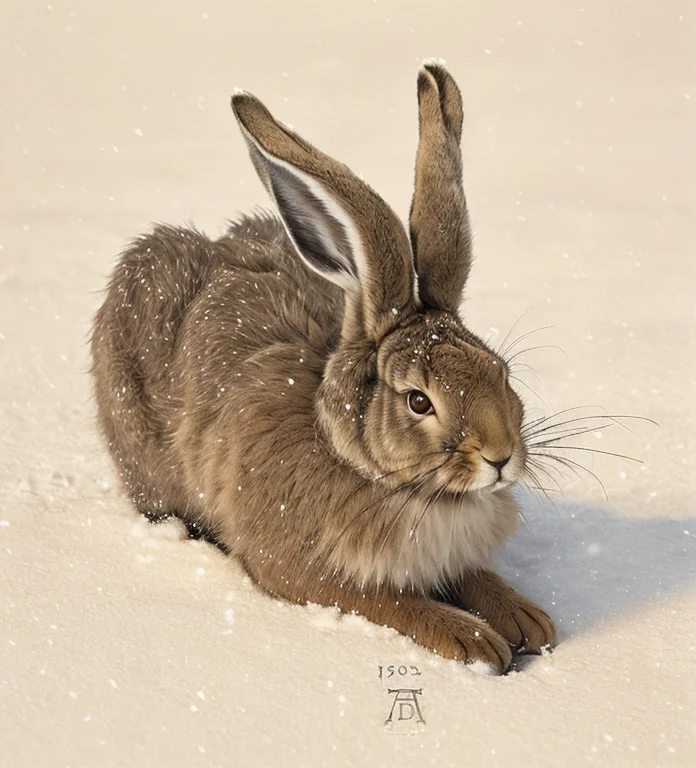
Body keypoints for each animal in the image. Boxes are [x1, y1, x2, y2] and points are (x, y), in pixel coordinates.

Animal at [91, 61, 556, 673]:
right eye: (419, 400)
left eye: (502, 374)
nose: (500, 457)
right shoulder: (299, 565)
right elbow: (387, 600)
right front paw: (473, 640)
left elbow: (476, 577)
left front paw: (528, 620)